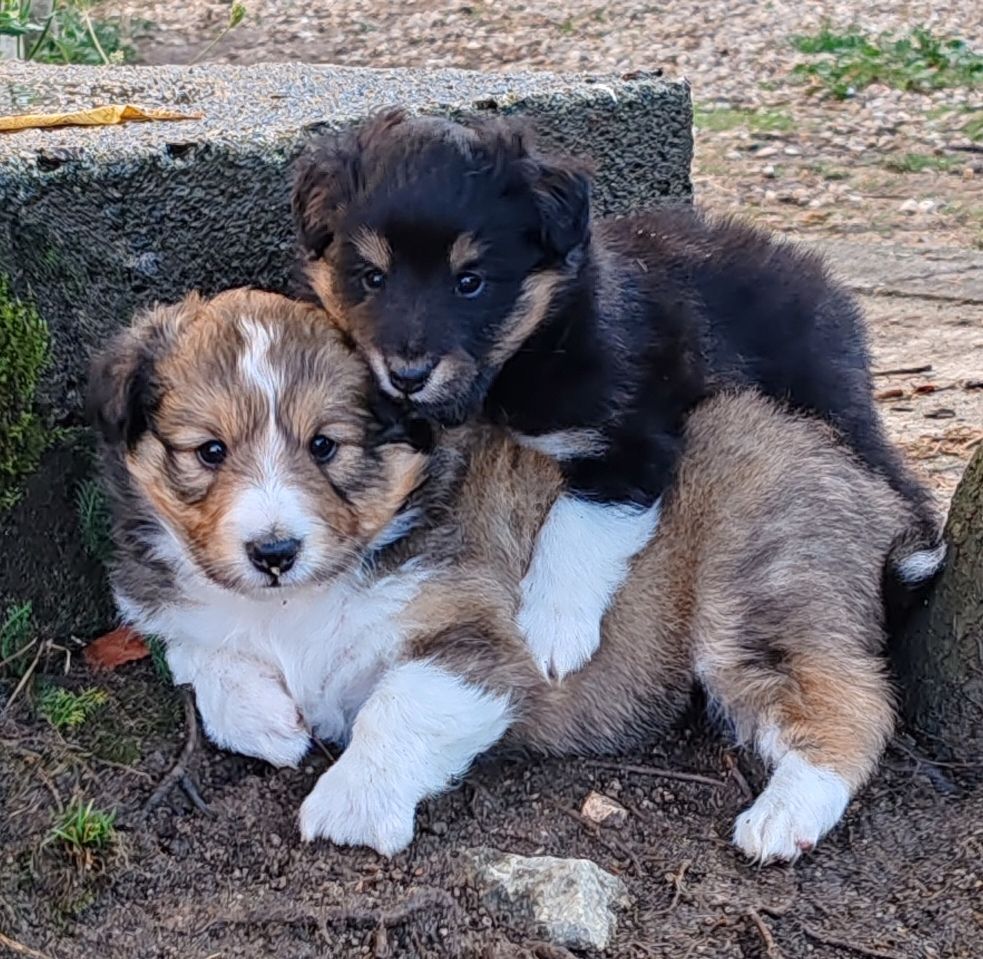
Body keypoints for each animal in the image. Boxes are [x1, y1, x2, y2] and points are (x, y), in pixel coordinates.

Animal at [92, 288, 924, 868]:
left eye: (325, 445)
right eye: (208, 450)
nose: (274, 551)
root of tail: (867, 485)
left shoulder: (480, 643)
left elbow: (396, 706)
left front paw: (351, 806)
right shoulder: (176, 612)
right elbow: (201, 659)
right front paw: (269, 724)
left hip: (754, 591)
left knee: (853, 708)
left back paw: (781, 817)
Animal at [292, 110, 944, 684]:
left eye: (470, 282)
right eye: (372, 277)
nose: (407, 375)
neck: (524, 356)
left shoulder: (629, 441)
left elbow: (575, 525)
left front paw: (552, 633)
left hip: (827, 398)